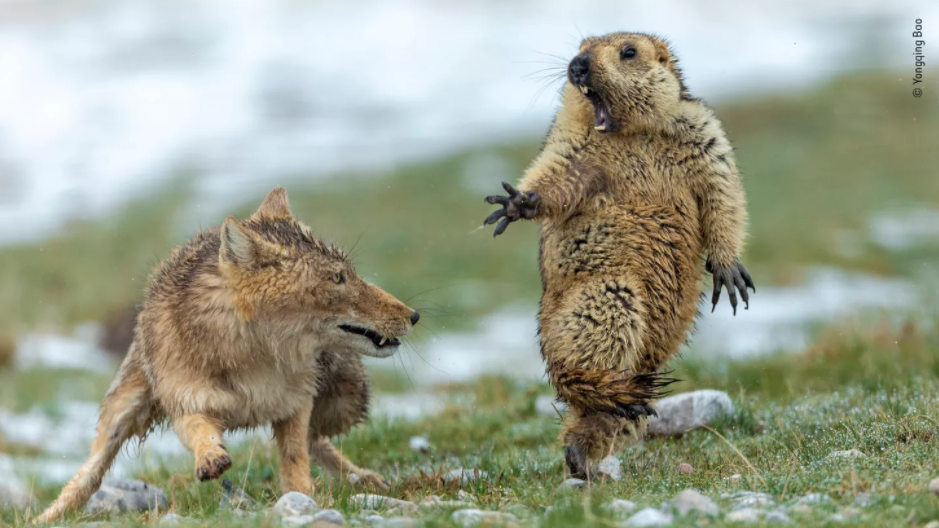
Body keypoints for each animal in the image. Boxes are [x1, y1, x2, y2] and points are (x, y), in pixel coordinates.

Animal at [34, 187, 420, 523]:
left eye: (349, 274)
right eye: (337, 278)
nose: (414, 315)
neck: (253, 360)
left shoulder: (295, 403)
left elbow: (296, 458)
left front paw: (304, 499)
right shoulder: (187, 403)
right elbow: (199, 431)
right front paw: (210, 458)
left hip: (346, 402)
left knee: (318, 440)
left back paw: (364, 478)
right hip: (121, 411)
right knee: (88, 475)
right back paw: (46, 517)